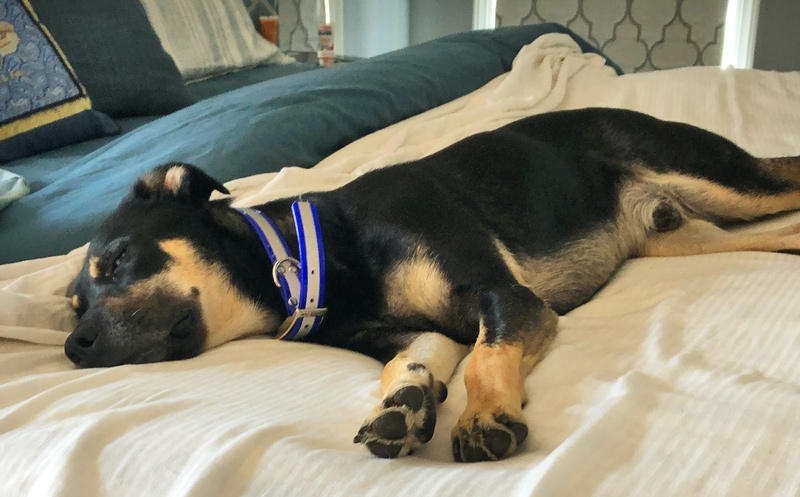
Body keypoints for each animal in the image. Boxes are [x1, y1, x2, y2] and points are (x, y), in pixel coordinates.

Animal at [65, 108, 800, 462]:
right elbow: (423, 354)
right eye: (73, 304)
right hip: (694, 233)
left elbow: (483, 354)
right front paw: (407, 400)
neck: (312, 254)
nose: (74, 347)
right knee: (784, 228)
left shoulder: (506, 298)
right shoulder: (403, 331)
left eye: (117, 260)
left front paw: (483, 415)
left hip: (723, 180)